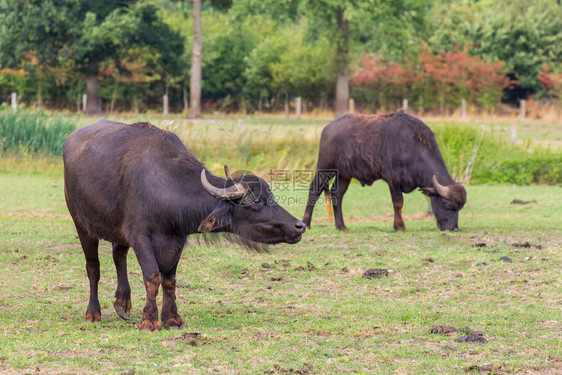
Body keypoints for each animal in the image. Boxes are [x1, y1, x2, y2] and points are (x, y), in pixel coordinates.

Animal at [63, 121, 304, 332]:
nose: (299, 225)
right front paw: (149, 321)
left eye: (271, 197)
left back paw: (122, 303)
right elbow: (152, 276)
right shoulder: (140, 236)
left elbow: (169, 280)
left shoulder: (176, 240)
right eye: (257, 201)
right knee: (93, 267)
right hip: (81, 224)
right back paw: (93, 313)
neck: (165, 187)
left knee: (118, 255)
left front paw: (172, 319)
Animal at [302, 112, 464, 232]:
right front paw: (400, 226)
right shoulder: (393, 180)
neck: (413, 148)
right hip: (325, 166)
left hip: (344, 174)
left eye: (460, 208)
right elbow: (398, 203)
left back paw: (341, 226)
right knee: (315, 189)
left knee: (337, 194)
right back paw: (306, 223)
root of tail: (328, 128)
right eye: (447, 205)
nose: (454, 228)